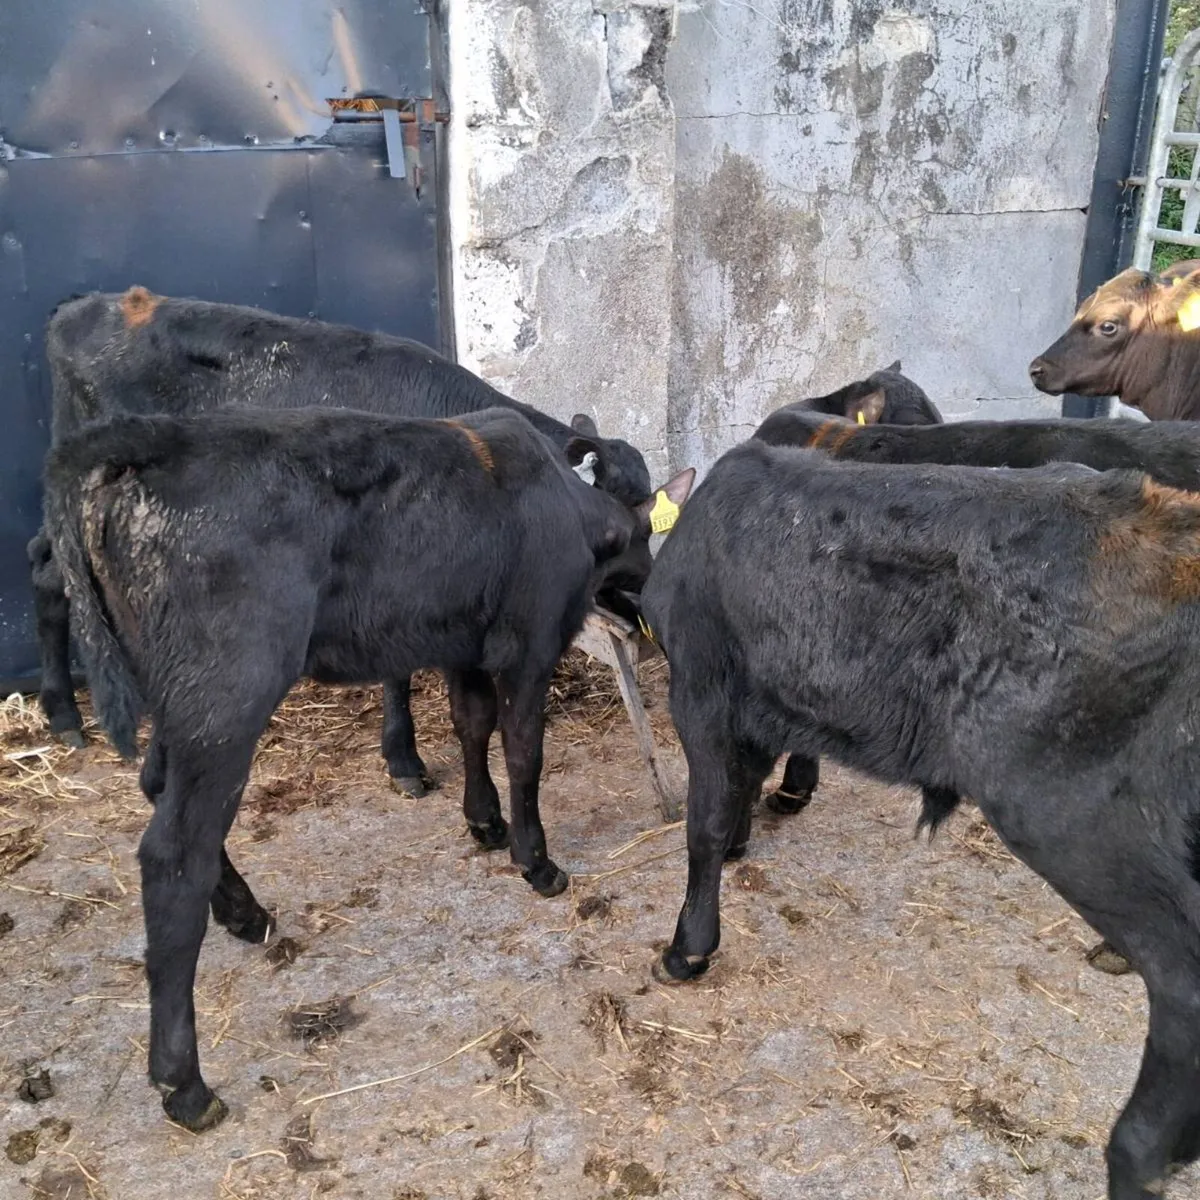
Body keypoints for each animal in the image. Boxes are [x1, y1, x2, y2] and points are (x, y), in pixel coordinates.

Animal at [32, 287, 660, 797]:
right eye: (628, 522)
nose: (645, 594)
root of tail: (80, 307)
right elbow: (397, 671)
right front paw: (403, 758)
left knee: (45, 569)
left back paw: (63, 715)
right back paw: (65, 713)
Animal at [43, 403, 693, 1131]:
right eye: (648, 544)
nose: (650, 606)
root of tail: (141, 444)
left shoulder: (461, 637)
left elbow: (472, 723)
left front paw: (484, 822)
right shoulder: (529, 641)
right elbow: (524, 747)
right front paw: (536, 860)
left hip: (178, 699)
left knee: (160, 791)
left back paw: (246, 914)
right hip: (226, 697)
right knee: (176, 854)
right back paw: (185, 1083)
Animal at [640, 438, 1200, 1199]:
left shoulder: (700, 690)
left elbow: (701, 825)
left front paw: (689, 946)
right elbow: (737, 795)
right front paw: (740, 845)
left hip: (1076, 821)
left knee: (1182, 983)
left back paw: (1140, 1151)